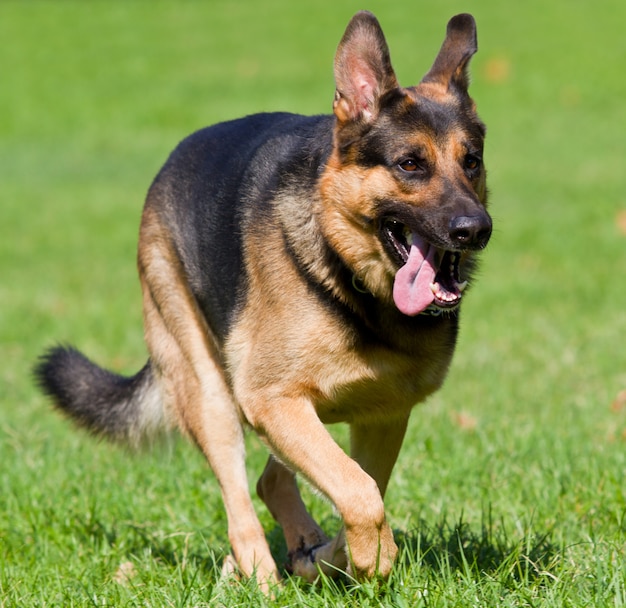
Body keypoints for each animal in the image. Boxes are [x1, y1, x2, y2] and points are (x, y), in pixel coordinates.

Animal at [35, 10, 492, 588]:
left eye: (471, 162)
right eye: (410, 164)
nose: (476, 229)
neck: (349, 277)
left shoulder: (380, 413)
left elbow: (362, 488)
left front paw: (339, 557)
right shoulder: (272, 400)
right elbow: (362, 493)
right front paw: (372, 556)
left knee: (273, 481)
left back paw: (302, 553)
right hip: (209, 391)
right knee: (240, 495)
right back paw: (260, 573)